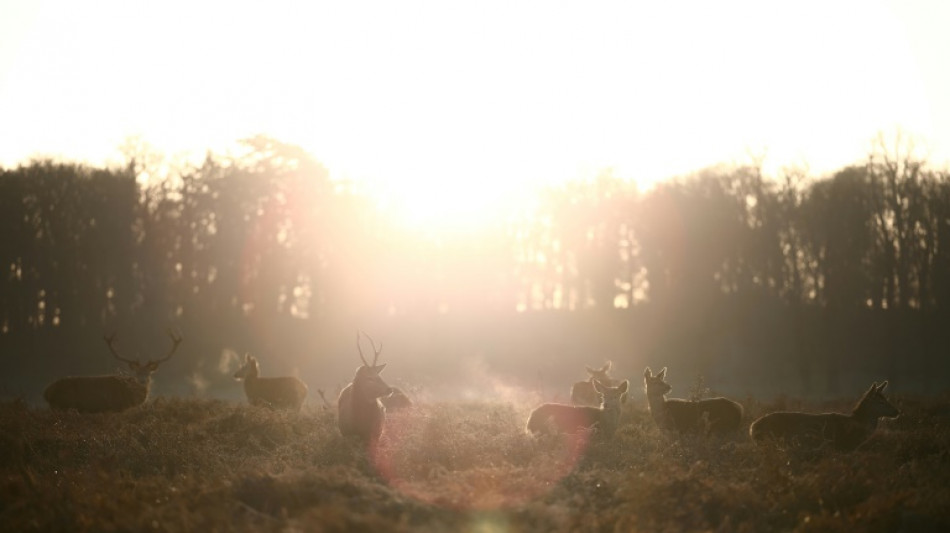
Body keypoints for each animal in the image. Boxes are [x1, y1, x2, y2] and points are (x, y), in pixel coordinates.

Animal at [43, 330, 184, 414]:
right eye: (137, 373)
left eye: (148, 373)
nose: (142, 380)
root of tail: (47, 392)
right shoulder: (114, 409)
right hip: (60, 406)